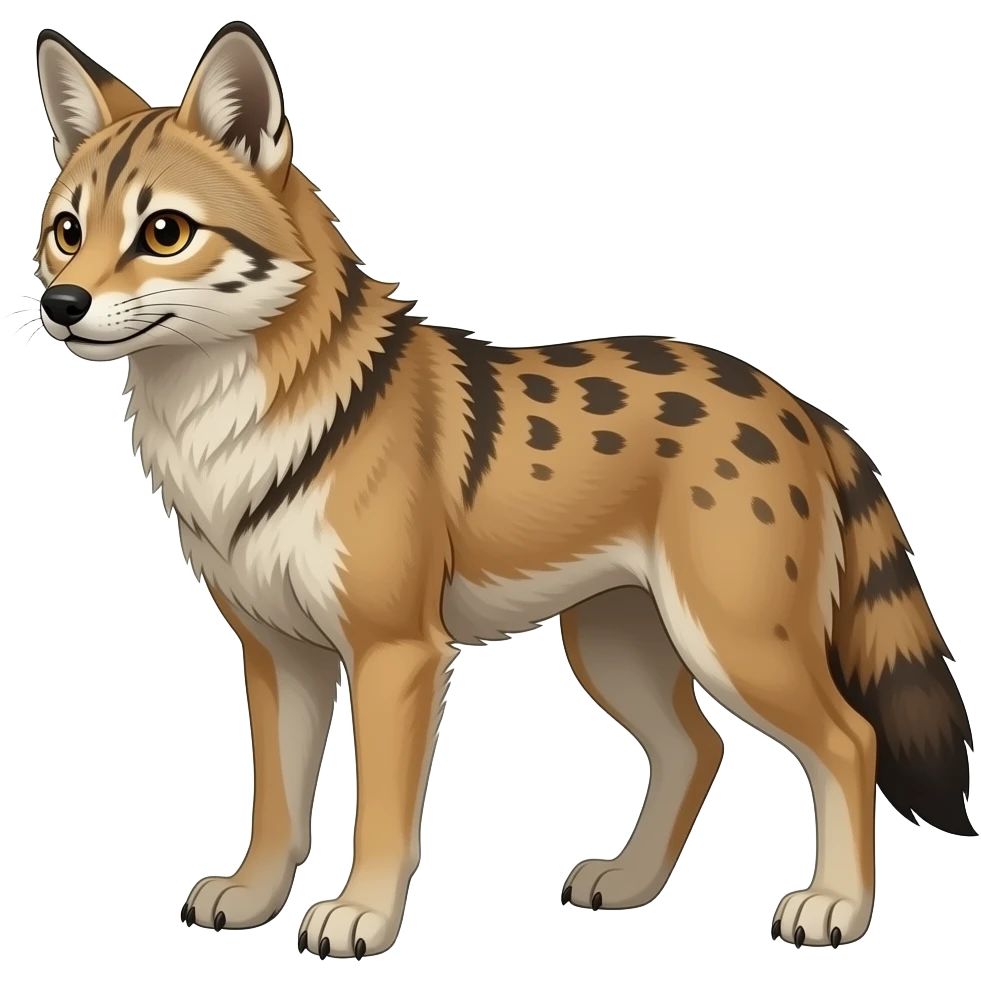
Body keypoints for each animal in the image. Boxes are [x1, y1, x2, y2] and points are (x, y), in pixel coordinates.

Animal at [31, 21, 974, 958]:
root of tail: (800, 405)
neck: (232, 427)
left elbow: (382, 814)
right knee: (697, 748)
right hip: (618, 648)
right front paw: (254, 896)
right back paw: (631, 882)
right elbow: (278, 806)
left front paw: (361, 916)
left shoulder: (395, 653)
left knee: (847, 739)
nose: (61, 302)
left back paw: (835, 905)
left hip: (733, 644)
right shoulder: (278, 652)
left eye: (164, 231)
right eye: (67, 231)